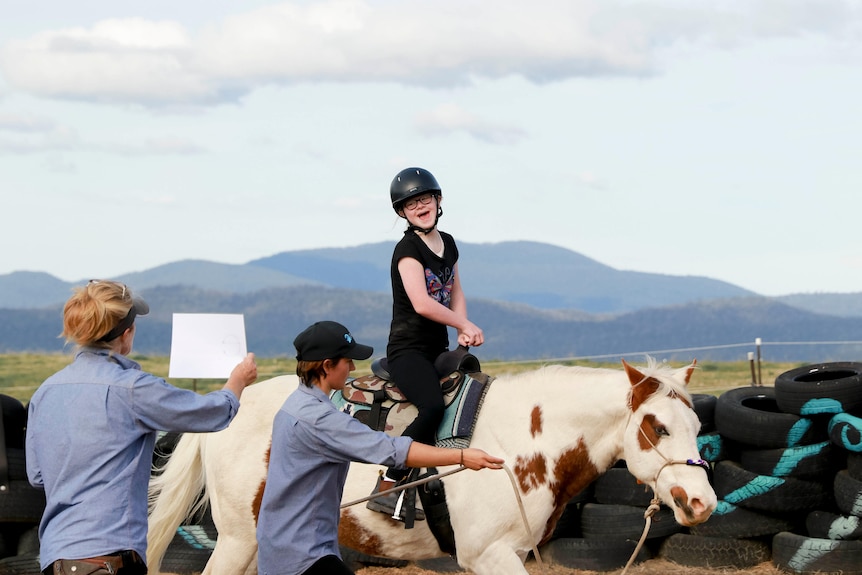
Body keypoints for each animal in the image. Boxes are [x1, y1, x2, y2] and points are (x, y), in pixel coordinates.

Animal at [147, 360, 716, 575]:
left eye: (694, 423)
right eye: (657, 427)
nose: (702, 503)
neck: (524, 442)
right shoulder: (490, 555)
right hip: (238, 540)